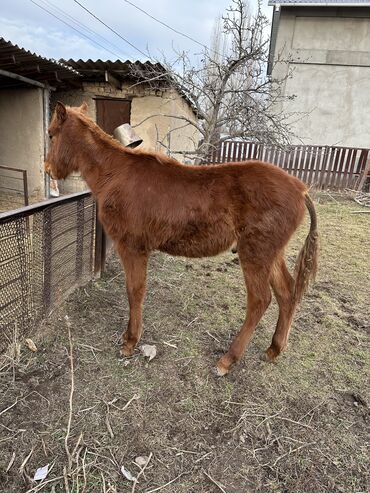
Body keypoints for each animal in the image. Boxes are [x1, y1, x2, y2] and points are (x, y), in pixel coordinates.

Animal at [45, 102, 318, 374]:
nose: (48, 169)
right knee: (287, 292)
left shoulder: (132, 247)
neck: (114, 173)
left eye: (51, 134)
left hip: (255, 253)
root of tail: (301, 190)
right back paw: (274, 349)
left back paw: (228, 359)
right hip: (271, 254)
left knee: (260, 300)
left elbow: (134, 290)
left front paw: (130, 341)